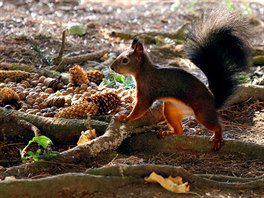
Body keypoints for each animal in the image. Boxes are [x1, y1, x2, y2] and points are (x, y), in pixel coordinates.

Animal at [110, 10, 252, 150]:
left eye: (125, 60)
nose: (111, 67)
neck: (142, 72)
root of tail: (213, 101)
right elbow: (136, 102)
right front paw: (129, 105)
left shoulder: (147, 90)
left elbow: (141, 107)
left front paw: (126, 118)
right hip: (171, 109)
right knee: (180, 130)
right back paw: (168, 132)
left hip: (203, 112)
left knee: (216, 126)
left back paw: (218, 137)